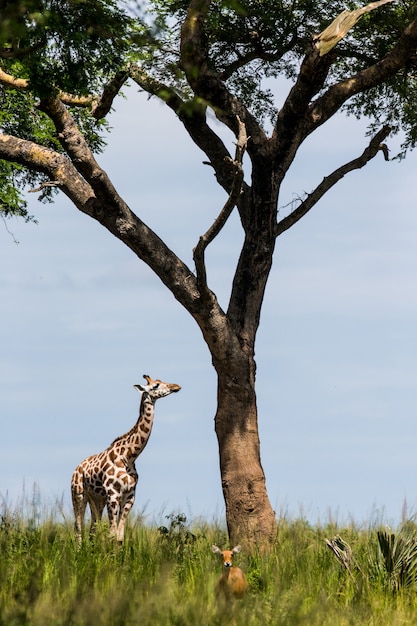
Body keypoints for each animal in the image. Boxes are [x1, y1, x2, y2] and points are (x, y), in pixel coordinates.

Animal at [70, 372, 180, 544]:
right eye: (155, 385)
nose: (176, 386)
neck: (129, 456)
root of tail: (76, 469)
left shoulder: (129, 496)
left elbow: (120, 537)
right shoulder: (113, 494)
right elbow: (111, 535)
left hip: (97, 500)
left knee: (92, 530)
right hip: (79, 494)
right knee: (78, 528)